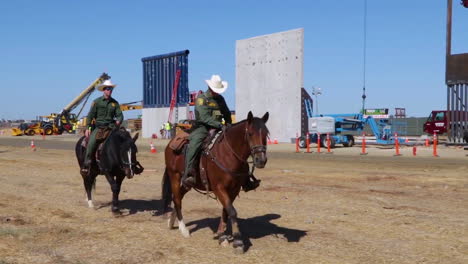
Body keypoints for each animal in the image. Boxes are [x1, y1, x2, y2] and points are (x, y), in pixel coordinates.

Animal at [163, 111, 268, 254]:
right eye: (250, 133)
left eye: (266, 134)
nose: (261, 160)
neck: (228, 154)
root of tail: (171, 143)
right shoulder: (219, 188)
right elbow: (232, 211)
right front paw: (238, 241)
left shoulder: (234, 189)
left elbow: (226, 211)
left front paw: (221, 235)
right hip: (174, 176)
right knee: (177, 199)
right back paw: (183, 229)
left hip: (189, 183)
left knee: (177, 196)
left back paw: (171, 221)